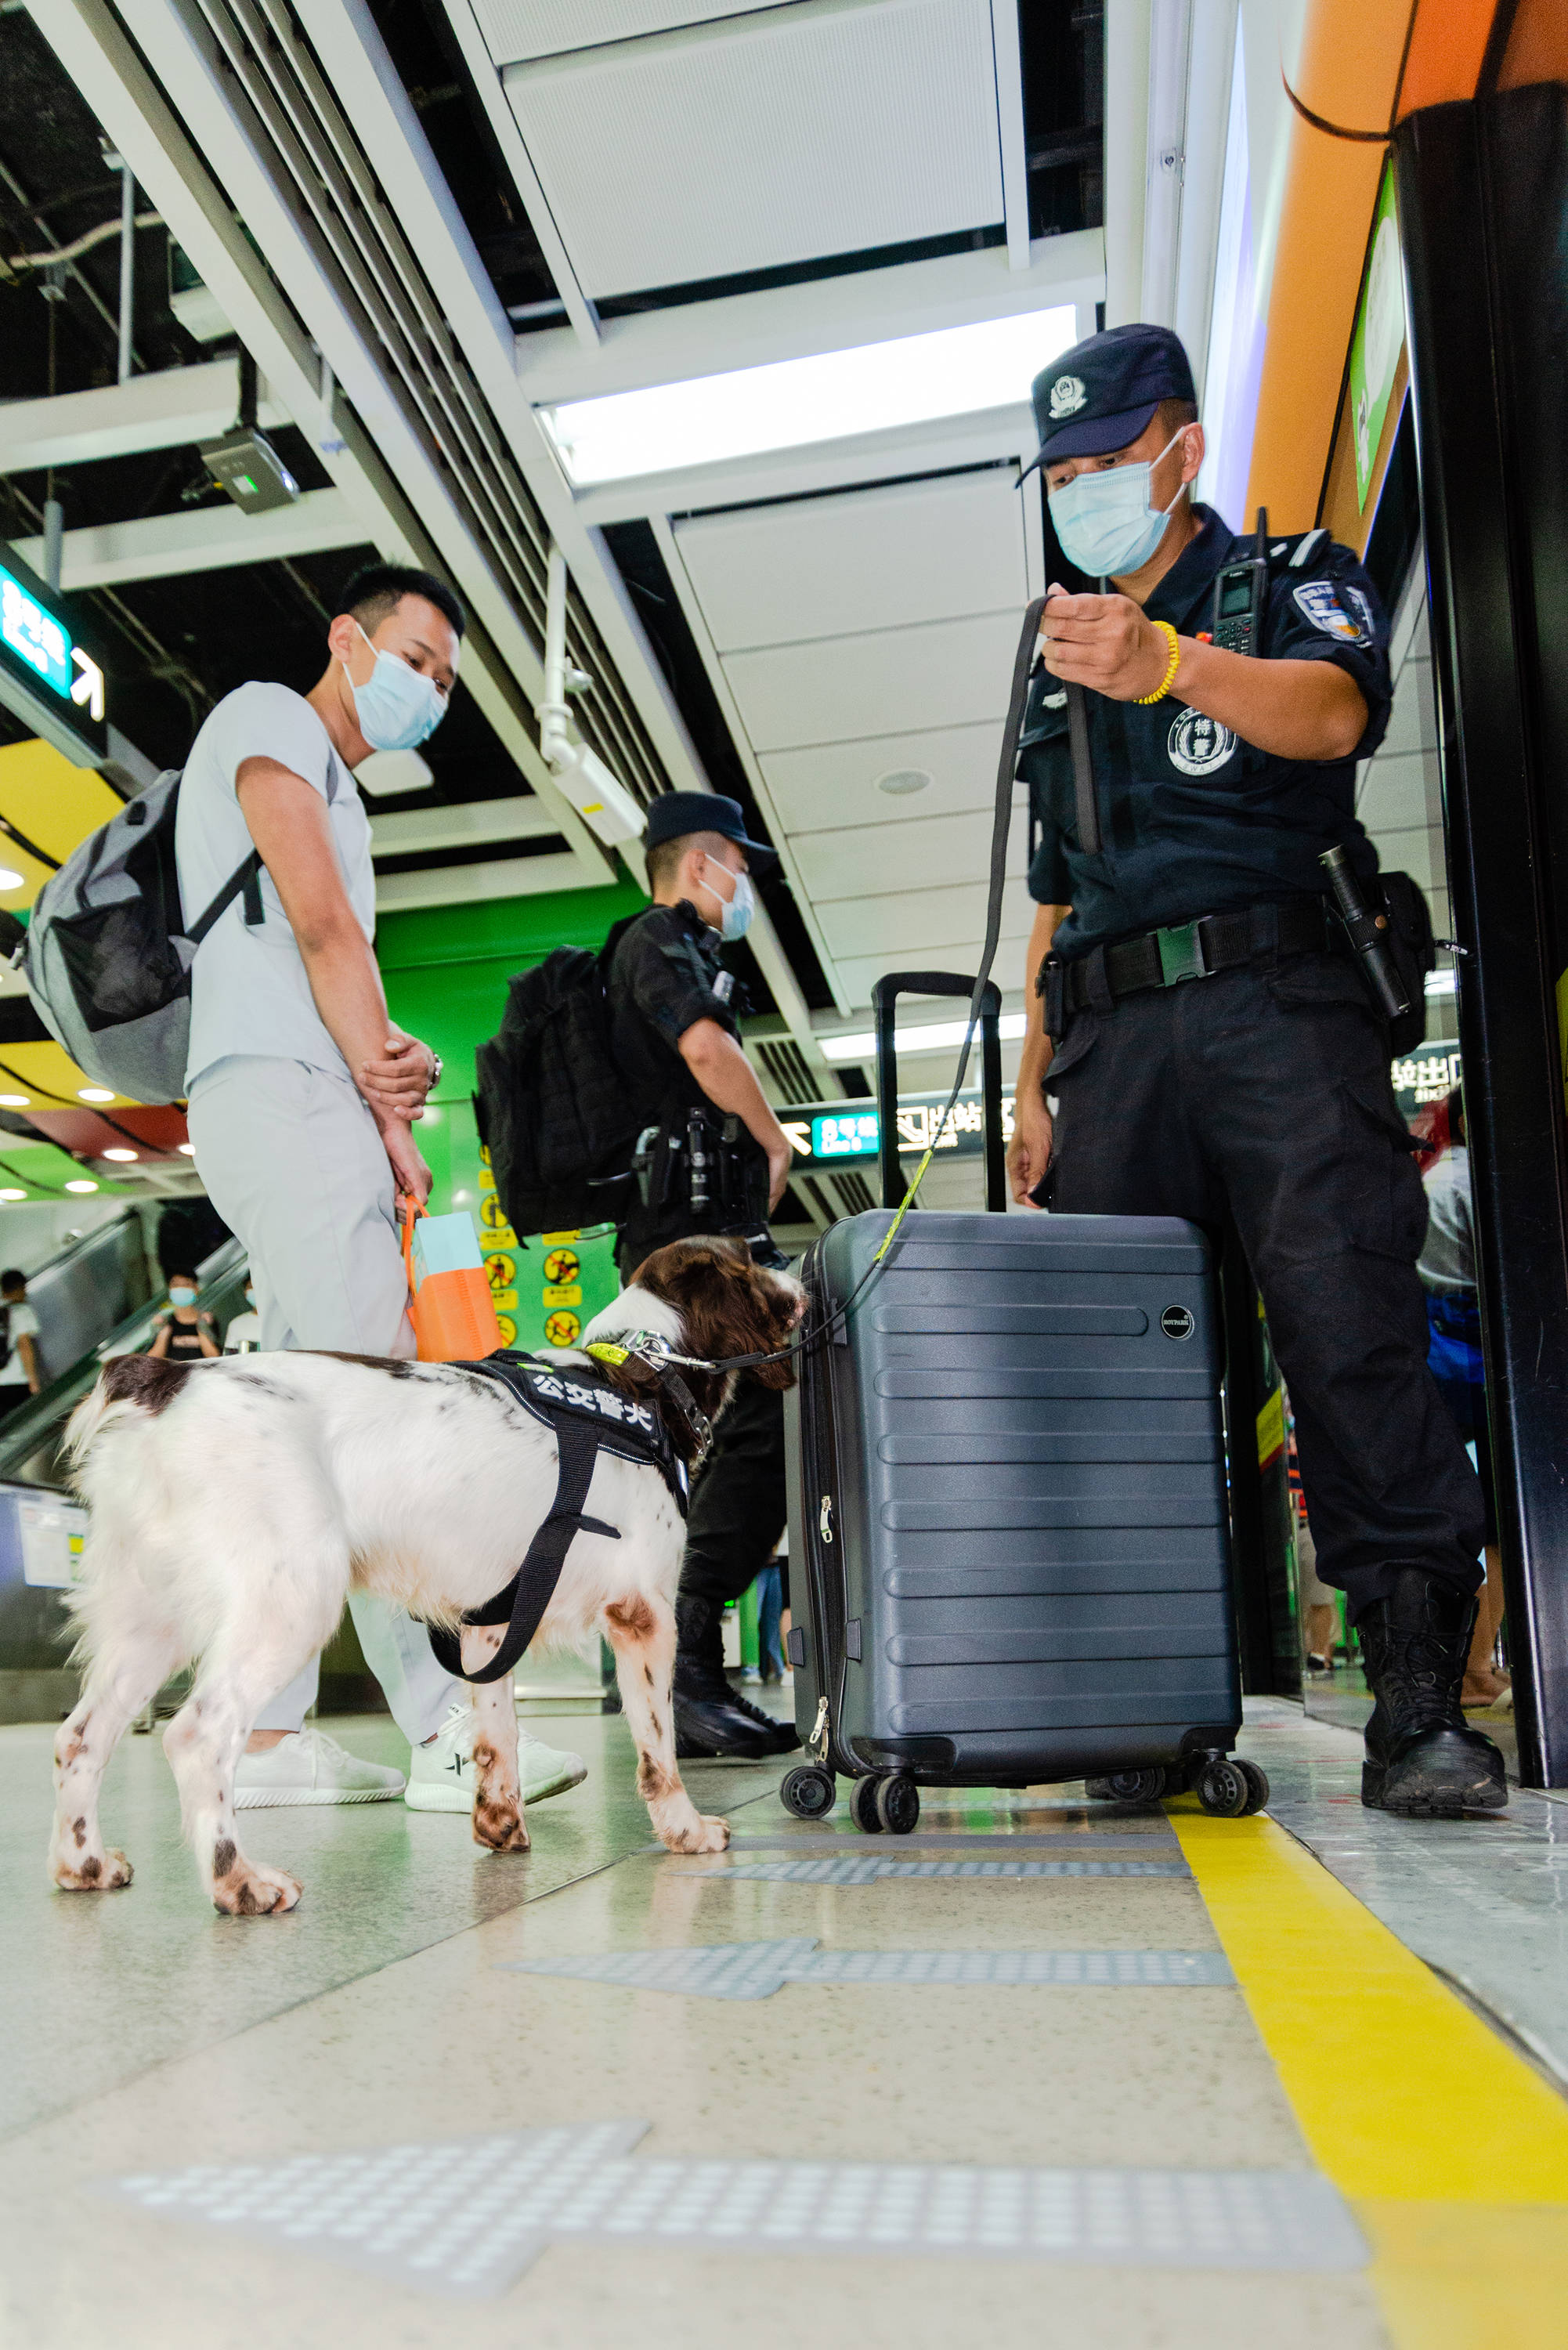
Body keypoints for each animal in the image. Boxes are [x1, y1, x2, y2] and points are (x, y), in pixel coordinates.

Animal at [42, 1241, 804, 1918]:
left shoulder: (492, 1621)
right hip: (288, 1603)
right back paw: (241, 1883)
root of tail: (166, 1380)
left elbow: (498, 1737)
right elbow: (657, 1749)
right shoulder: (643, 1613)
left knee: (79, 1737)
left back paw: (84, 1863)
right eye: (752, 1256)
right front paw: (687, 1831)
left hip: (151, 1619)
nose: (798, 1275)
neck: (636, 1377)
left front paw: (501, 1825)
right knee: (199, 1738)